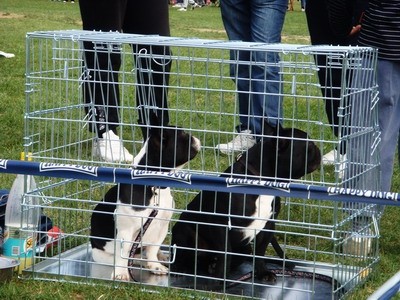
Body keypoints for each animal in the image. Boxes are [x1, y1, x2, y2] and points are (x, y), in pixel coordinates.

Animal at [90, 115, 200, 282]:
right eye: (183, 135)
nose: (194, 136)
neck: (154, 188)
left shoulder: (161, 226)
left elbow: (153, 249)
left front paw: (155, 265)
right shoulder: (126, 231)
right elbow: (123, 254)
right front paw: (121, 273)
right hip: (100, 253)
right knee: (126, 258)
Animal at [170, 122, 320, 282]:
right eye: (310, 146)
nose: (318, 149)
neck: (262, 181)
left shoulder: (268, 225)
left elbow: (259, 252)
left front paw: (263, 273)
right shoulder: (221, 224)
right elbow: (225, 252)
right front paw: (220, 279)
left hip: (245, 248)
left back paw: (214, 266)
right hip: (184, 231)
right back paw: (180, 267)